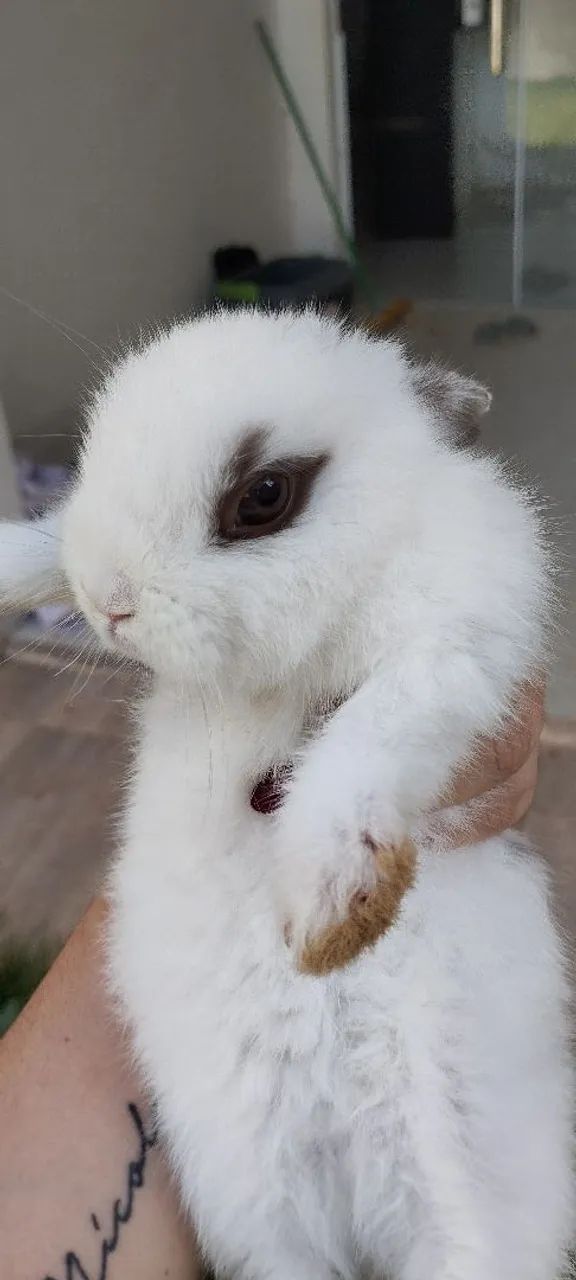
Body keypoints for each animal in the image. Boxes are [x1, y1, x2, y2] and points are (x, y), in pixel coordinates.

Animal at [0, 308, 573, 1280]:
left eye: (263, 495)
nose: (109, 602)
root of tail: (352, 1185)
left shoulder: (446, 658)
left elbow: (363, 744)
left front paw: (331, 917)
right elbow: (44, 534)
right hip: (259, 1209)